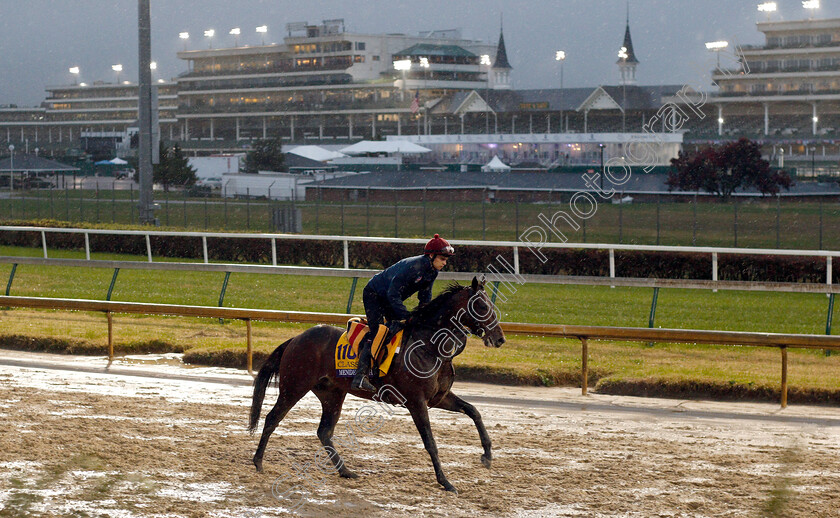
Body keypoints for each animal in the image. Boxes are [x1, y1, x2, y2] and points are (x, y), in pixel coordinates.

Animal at [249, 278, 506, 494]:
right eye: (481, 306)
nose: (500, 338)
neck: (430, 346)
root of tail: (296, 338)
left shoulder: (439, 398)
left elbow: (474, 411)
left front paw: (487, 455)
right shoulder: (416, 401)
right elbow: (430, 442)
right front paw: (445, 482)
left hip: (332, 394)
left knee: (324, 432)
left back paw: (346, 471)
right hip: (294, 386)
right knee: (272, 418)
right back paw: (258, 462)